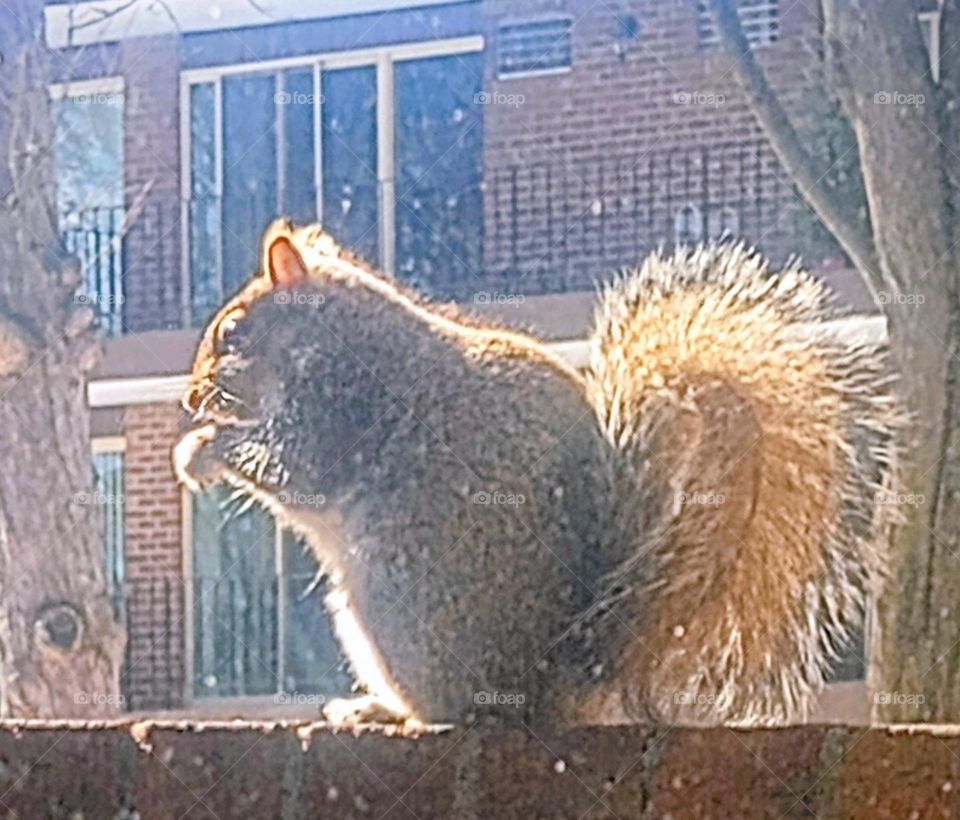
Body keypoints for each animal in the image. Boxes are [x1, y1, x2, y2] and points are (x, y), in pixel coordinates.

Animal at [173, 220, 900, 726]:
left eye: (232, 332)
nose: (190, 397)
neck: (333, 335)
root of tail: (546, 680)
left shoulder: (341, 408)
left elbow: (294, 465)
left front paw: (203, 449)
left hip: (391, 604)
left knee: (447, 710)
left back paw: (379, 708)